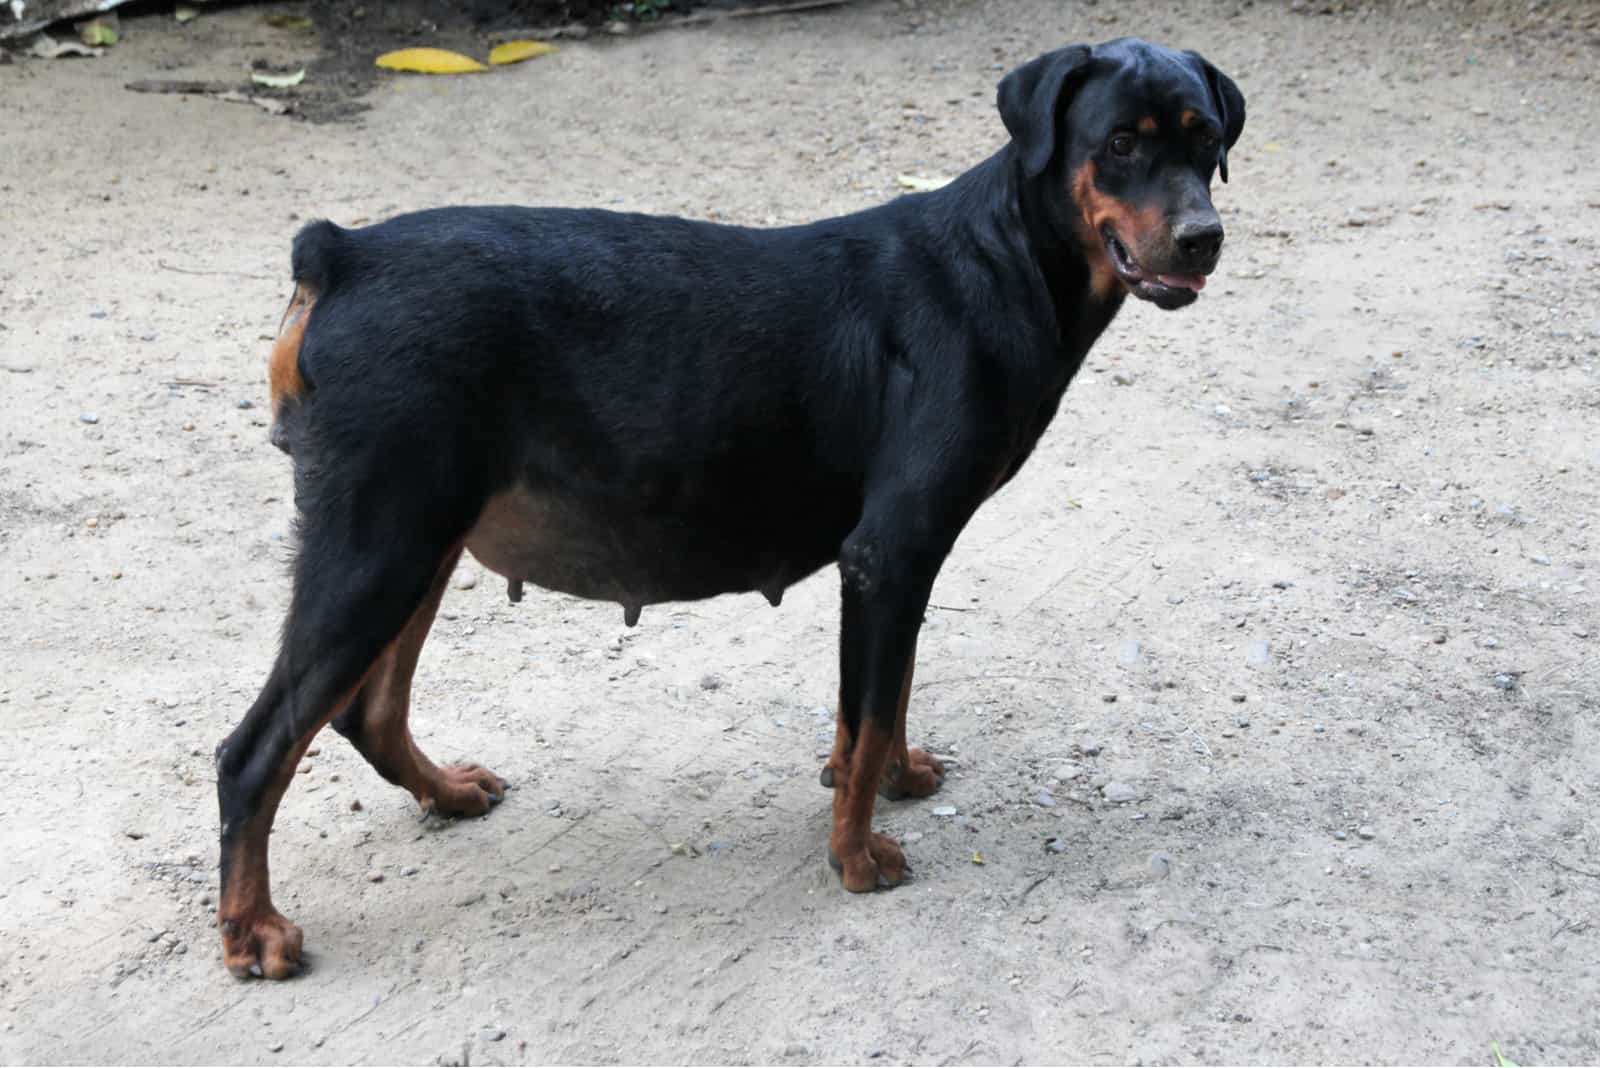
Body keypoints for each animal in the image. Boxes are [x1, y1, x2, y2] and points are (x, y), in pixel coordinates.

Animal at [219, 39, 1248, 978]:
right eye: (1119, 142)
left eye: (1205, 140)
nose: (1203, 236)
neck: (1006, 259)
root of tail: (342, 253)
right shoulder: (891, 550)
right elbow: (869, 715)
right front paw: (855, 855)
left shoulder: (897, 565)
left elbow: (880, 704)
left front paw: (893, 779)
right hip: (378, 545)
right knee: (254, 752)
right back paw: (252, 932)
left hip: (420, 539)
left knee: (368, 713)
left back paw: (442, 792)